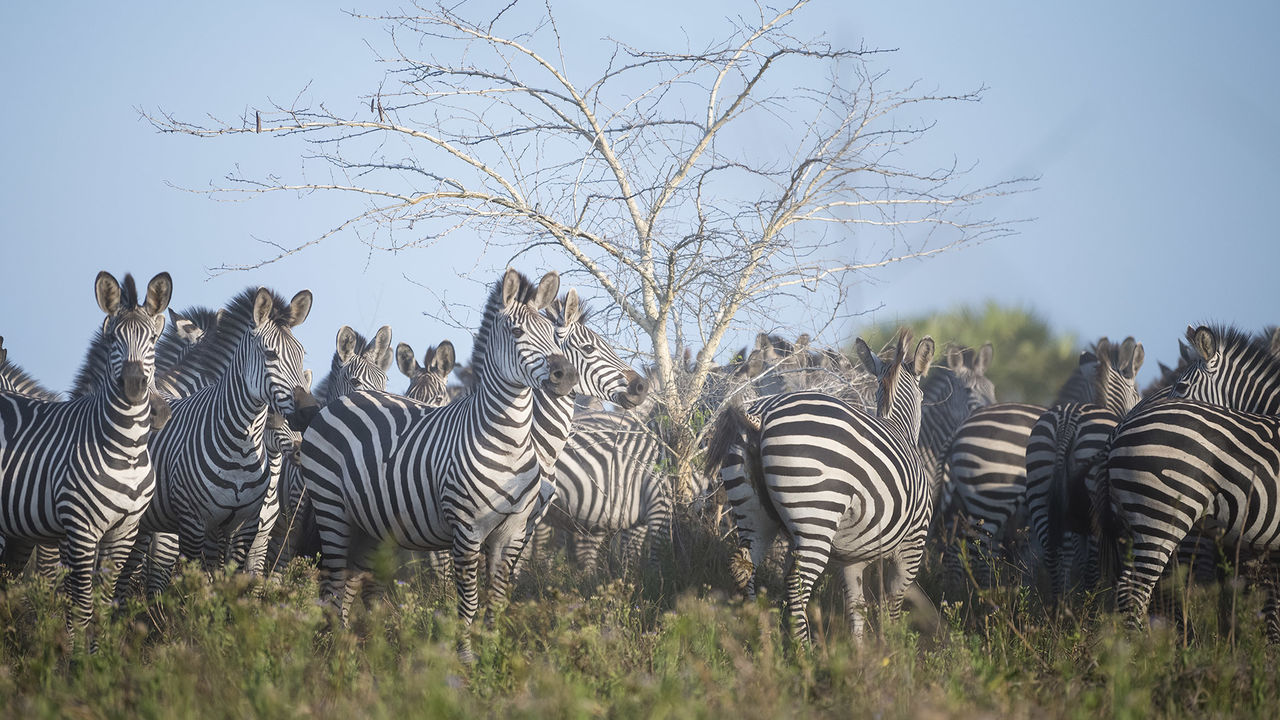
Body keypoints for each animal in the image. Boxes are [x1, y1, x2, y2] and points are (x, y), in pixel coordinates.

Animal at [0, 270, 171, 638]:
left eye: (153, 339)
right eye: (113, 341)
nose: (134, 387)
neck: (128, 452)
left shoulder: (124, 533)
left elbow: (103, 606)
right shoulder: (79, 530)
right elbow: (81, 608)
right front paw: (75, 654)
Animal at [706, 330, 936, 638]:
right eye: (923, 396)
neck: (898, 427)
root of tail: (761, 416)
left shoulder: (852, 557)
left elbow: (856, 608)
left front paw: (860, 649)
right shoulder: (911, 547)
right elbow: (893, 607)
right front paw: (894, 646)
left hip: (753, 515)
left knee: (744, 567)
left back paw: (762, 638)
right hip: (816, 517)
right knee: (795, 585)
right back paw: (802, 648)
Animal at [1024, 333, 1146, 602]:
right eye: (1138, 394)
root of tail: (1068, 421)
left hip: (1039, 486)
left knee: (1055, 551)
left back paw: (1060, 605)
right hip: (1093, 500)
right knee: (1087, 562)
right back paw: (1085, 605)